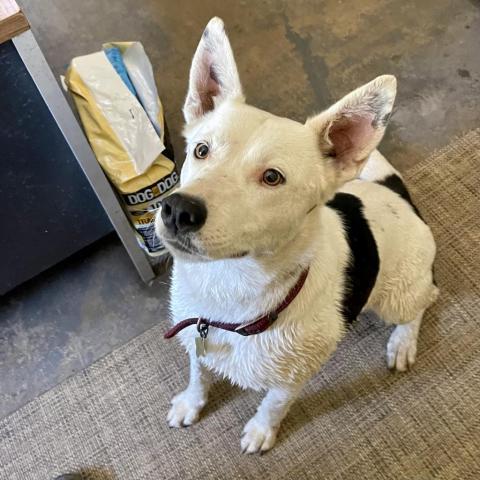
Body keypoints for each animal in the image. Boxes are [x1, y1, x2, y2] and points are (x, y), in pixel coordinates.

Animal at [155, 17, 438, 454]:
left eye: (273, 177)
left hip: (399, 294)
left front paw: (261, 431)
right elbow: (198, 374)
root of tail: (397, 195)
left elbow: (274, 404)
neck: (228, 293)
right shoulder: (196, 341)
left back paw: (403, 342)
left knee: (422, 303)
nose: (178, 210)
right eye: (201, 150)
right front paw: (191, 403)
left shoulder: (293, 376)